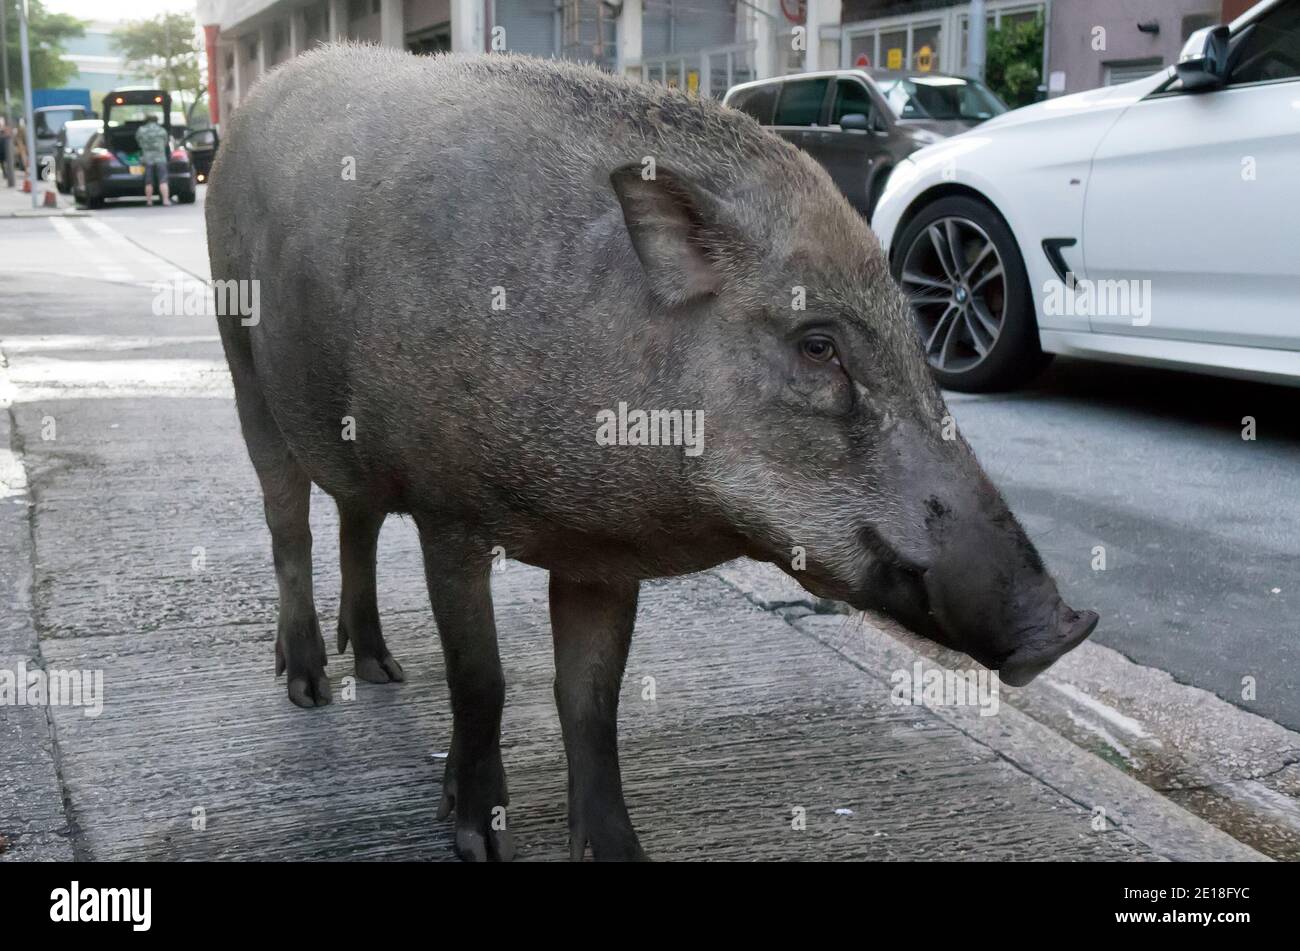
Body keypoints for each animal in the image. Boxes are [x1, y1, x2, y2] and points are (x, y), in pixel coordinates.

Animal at [205, 44, 1098, 862]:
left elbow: (591, 699)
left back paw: (381, 670)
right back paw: (311, 688)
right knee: (291, 525)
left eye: (918, 342)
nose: (1066, 626)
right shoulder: (447, 510)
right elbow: (482, 678)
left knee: (355, 520)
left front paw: (619, 852)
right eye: (817, 345)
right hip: (243, 369)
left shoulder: (603, 556)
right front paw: (477, 842)